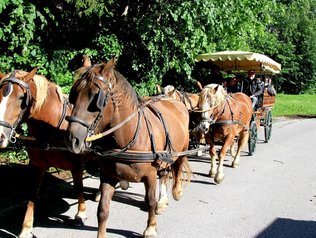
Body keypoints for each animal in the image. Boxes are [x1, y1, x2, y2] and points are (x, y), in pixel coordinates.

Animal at [0, 69, 95, 238]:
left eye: (21, 98)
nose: (0, 136)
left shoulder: (76, 166)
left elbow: (79, 187)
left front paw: (81, 214)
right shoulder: (37, 166)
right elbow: (32, 194)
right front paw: (26, 228)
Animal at [65, 58, 191, 238]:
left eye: (95, 98)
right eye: (74, 94)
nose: (72, 140)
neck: (129, 137)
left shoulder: (150, 176)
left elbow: (150, 201)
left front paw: (151, 227)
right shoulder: (108, 176)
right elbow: (102, 210)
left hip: (181, 150)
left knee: (178, 167)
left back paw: (176, 192)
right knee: (164, 174)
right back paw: (162, 201)